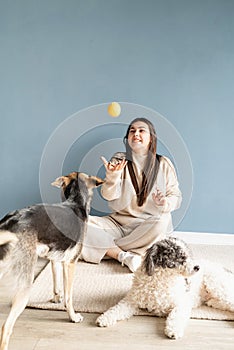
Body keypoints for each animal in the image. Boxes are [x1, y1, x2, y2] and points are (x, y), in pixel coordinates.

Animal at [0, 172, 103, 350]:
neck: (75, 201)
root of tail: (9, 222)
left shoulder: (54, 259)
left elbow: (56, 282)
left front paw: (56, 298)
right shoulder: (70, 263)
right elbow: (69, 296)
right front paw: (73, 316)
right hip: (25, 285)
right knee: (6, 327)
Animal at [95, 237, 234, 338]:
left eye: (188, 255)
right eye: (181, 257)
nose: (197, 267)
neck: (162, 279)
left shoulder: (181, 304)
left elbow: (176, 316)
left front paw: (173, 331)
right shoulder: (131, 301)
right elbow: (116, 309)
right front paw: (104, 318)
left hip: (216, 285)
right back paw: (212, 303)